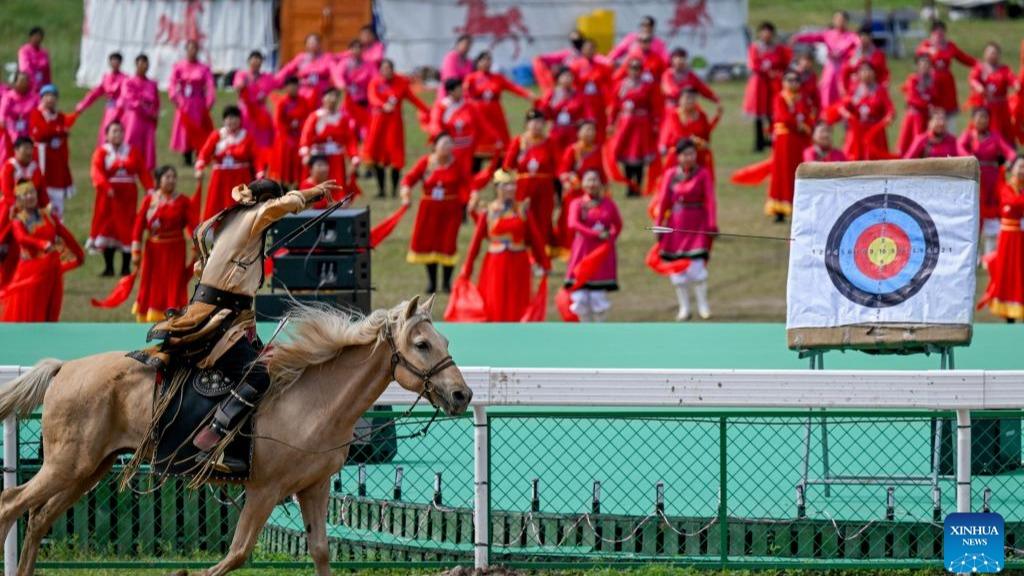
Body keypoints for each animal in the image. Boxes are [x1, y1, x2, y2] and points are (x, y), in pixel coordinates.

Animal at [0, 295, 471, 573]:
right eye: (422, 344)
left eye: (446, 340)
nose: (461, 394)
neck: (314, 397)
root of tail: (64, 368)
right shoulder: (264, 490)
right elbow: (237, 553)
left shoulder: (314, 488)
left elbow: (320, 551)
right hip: (66, 466)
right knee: (11, 504)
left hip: (87, 470)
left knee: (38, 519)